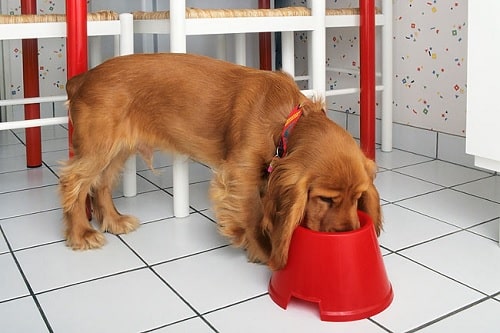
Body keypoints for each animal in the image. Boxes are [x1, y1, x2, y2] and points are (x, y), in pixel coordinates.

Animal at [58, 52, 380, 270]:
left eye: (358, 198)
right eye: (325, 199)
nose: (348, 233)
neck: (285, 118)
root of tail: (81, 79)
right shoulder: (241, 174)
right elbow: (251, 215)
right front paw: (264, 252)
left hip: (117, 149)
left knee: (101, 184)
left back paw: (114, 221)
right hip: (99, 147)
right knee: (74, 182)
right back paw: (81, 234)